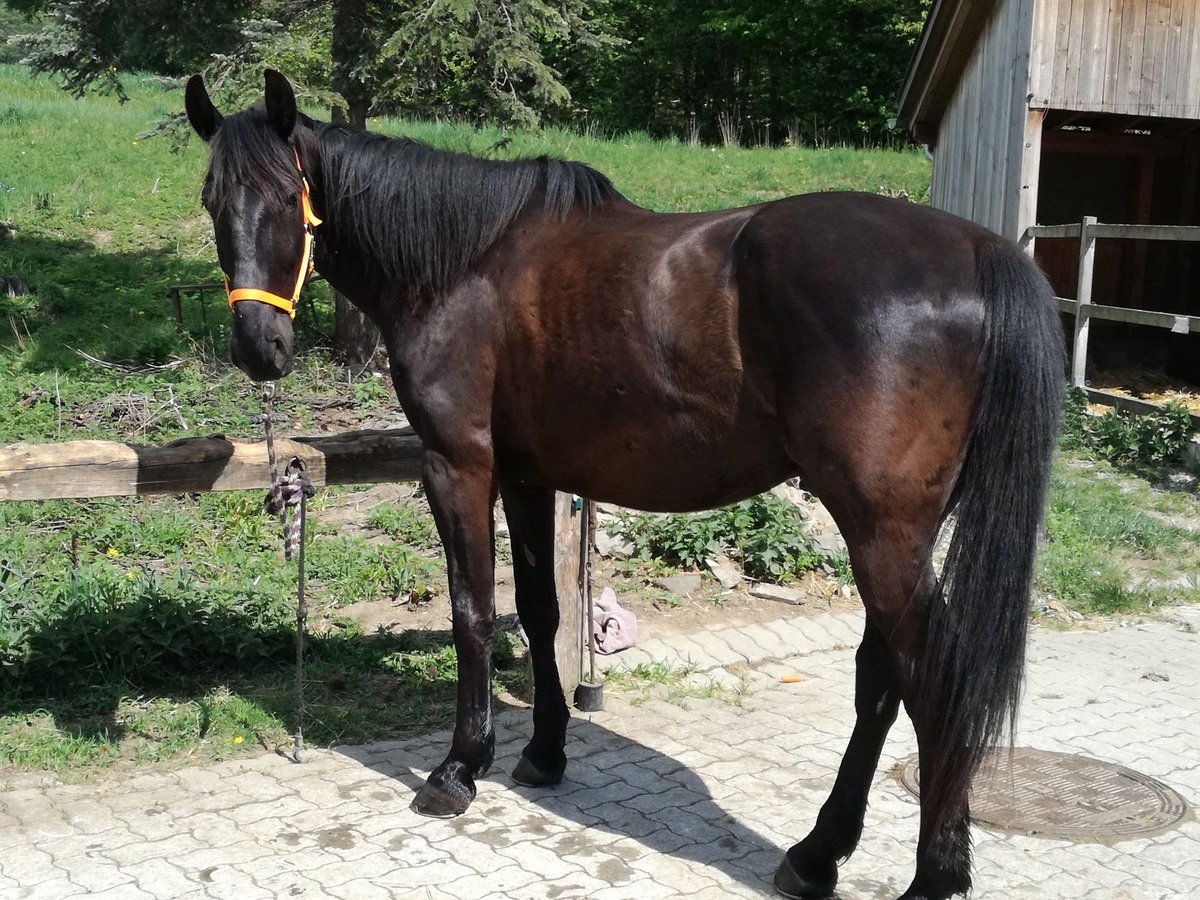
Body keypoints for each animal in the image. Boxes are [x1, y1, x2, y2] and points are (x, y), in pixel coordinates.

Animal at [182, 72, 1065, 900]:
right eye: (212, 199)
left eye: (286, 197)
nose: (259, 347)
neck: (466, 264)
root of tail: (980, 252)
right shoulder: (528, 476)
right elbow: (539, 612)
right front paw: (542, 753)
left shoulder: (457, 464)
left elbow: (472, 612)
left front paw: (459, 769)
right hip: (898, 533)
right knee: (882, 677)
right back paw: (818, 854)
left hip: (880, 530)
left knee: (928, 677)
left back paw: (934, 872)